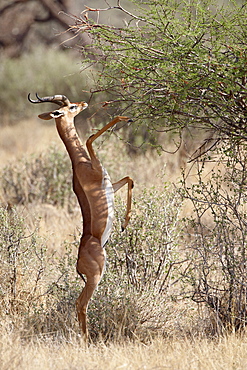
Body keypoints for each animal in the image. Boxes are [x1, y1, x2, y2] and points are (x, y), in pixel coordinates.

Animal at [28, 94, 134, 342]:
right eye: (72, 107)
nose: (85, 104)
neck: (81, 163)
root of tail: (77, 263)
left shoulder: (111, 185)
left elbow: (130, 179)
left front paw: (125, 223)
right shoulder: (98, 170)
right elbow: (89, 139)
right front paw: (124, 117)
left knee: (80, 304)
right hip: (96, 275)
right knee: (80, 303)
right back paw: (87, 340)